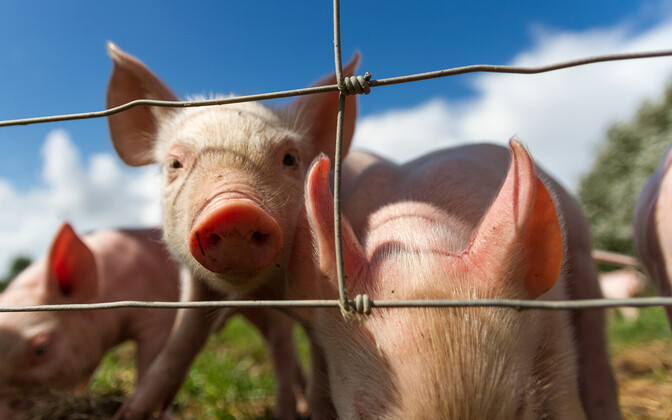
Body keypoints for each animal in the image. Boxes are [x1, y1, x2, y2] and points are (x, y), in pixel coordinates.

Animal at [0, 222, 307, 419]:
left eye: (41, 348)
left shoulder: (157, 318)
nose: (6, 412)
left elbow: (149, 363)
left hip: (270, 307)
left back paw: (287, 413)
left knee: (282, 347)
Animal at [105, 42, 358, 419]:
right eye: (174, 163)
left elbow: (314, 367)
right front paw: (128, 413)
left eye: (290, 159)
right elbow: (176, 350)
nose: (234, 210)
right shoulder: (195, 289)